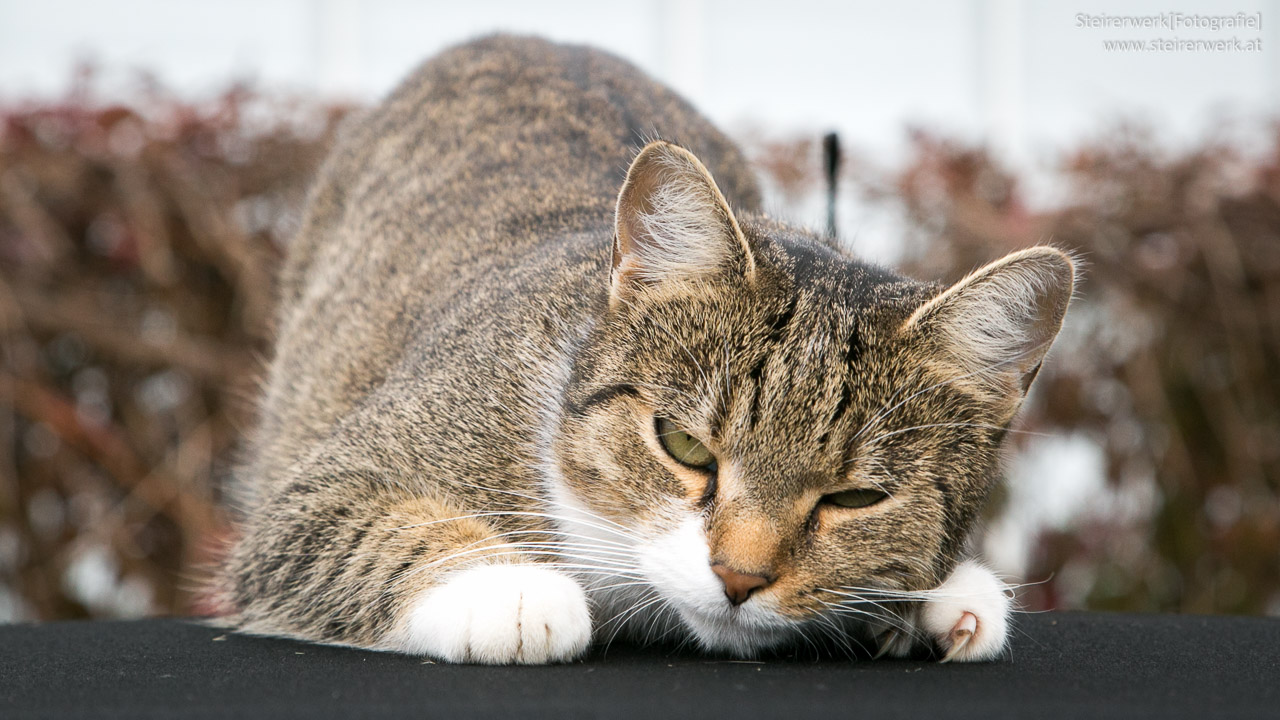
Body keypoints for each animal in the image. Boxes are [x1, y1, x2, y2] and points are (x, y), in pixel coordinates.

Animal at [215, 33, 1075, 661]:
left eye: (855, 498)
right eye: (684, 446)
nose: (738, 577)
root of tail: (534, 35)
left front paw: (940, 595)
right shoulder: (315, 497)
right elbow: (361, 528)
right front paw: (510, 588)